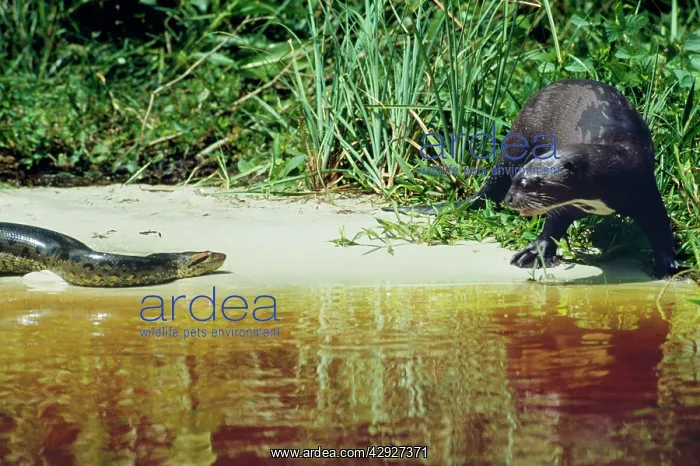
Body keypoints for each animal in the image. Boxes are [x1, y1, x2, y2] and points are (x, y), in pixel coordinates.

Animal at [384, 79, 688, 279]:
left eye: (534, 183)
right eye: (519, 179)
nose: (510, 198)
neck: (616, 156)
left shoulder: (644, 189)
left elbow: (660, 227)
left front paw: (671, 267)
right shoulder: (568, 203)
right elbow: (553, 225)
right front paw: (534, 254)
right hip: (519, 139)